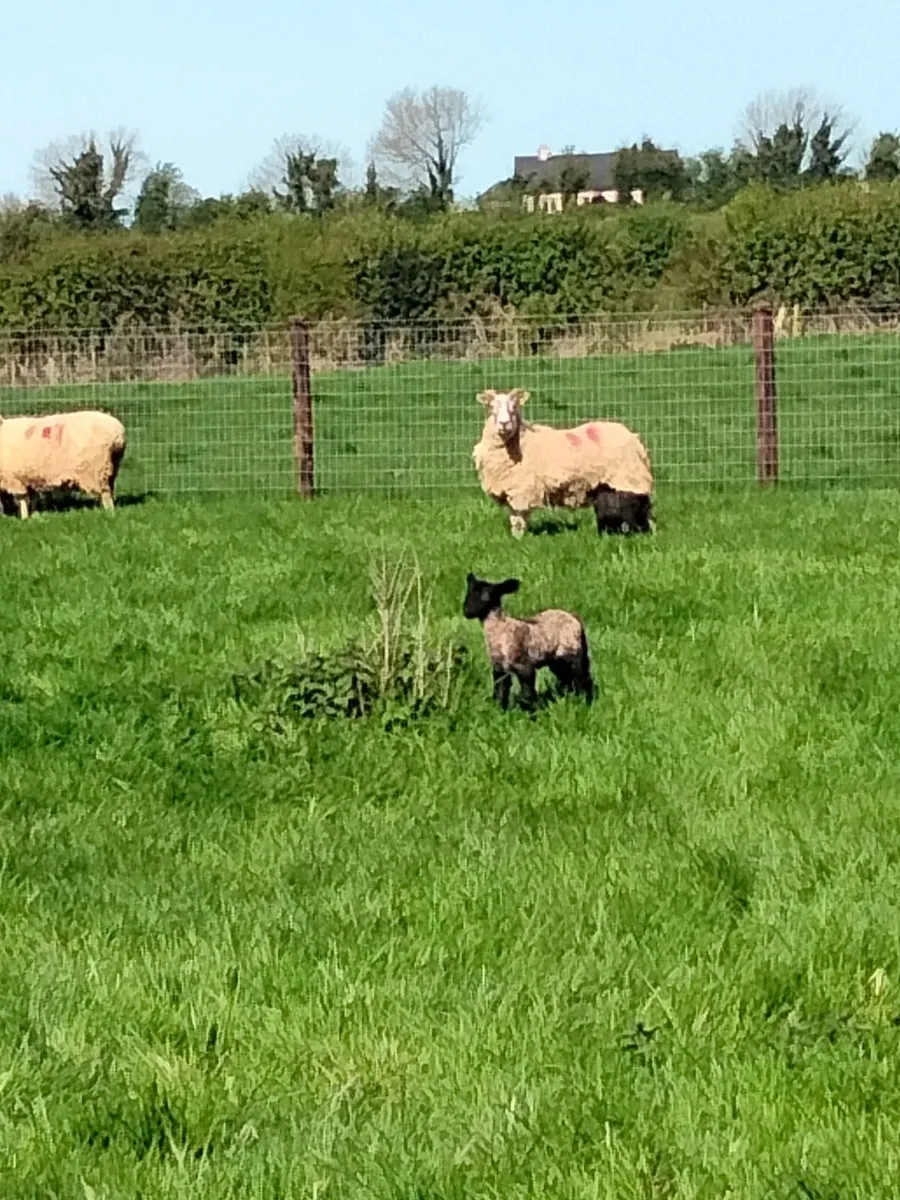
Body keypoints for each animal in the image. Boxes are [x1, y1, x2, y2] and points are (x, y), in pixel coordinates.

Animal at [463, 572, 594, 709]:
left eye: (488, 595)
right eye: (469, 593)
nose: (467, 611)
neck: (501, 630)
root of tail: (574, 617)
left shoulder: (525, 665)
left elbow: (527, 694)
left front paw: (532, 712)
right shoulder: (499, 667)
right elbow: (500, 691)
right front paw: (500, 710)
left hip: (572, 650)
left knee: (581, 678)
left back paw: (585, 701)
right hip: (556, 660)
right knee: (566, 678)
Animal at [472, 388, 654, 538]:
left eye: (514, 408)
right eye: (492, 409)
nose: (504, 424)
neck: (520, 444)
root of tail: (634, 439)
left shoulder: (522, 489)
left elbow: (519, 519)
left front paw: (518, 540)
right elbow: (514, 518)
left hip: (628, 478)